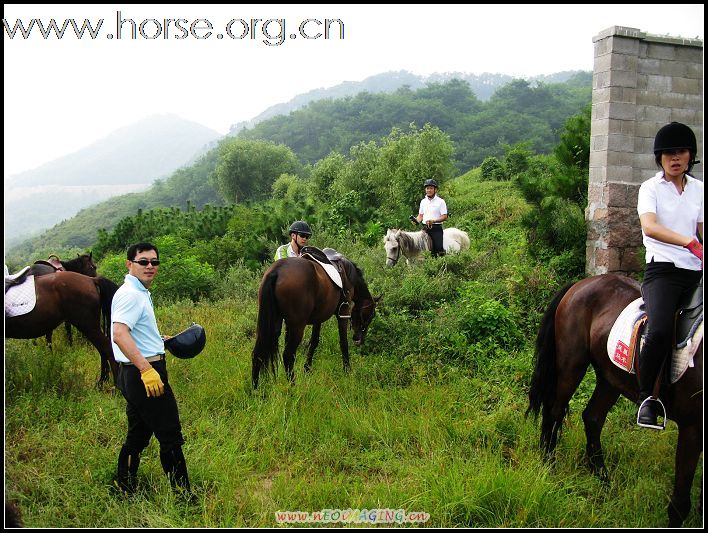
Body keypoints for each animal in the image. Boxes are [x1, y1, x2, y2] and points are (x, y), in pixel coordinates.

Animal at [252, 254, 378, 386]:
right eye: (370, 316)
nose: (359, 340)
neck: (347, 274)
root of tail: (277, 270)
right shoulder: (343, 314)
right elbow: (343, 342)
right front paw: (347, 370)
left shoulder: (318, 318)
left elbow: (314, 341)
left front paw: (307, 369)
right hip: (297, 327)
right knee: (288, 355)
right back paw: (292, 385)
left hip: (272, 325)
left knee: (258, 354)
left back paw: (256, 387)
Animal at [528, 274, 700, 528]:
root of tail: (582, 283)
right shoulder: (692, 427)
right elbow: (680, 502)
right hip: (572, 364)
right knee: (555, 411)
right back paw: (549, 464)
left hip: (610, 378)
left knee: (592, 418)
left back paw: (601, 476)